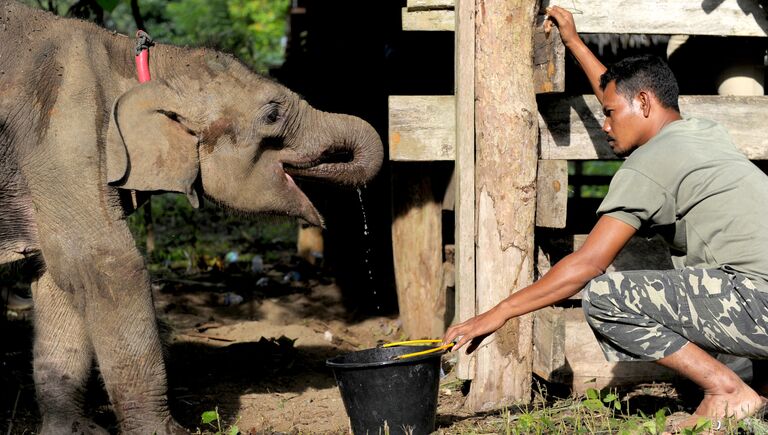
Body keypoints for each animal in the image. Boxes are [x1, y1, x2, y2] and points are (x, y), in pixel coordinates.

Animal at [0, 1, 382, 434]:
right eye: (272, 114)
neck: (131, 58)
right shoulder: (64, 134)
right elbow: (106, 265)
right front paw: (167, 431)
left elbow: (59, 278)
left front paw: (72, 431)